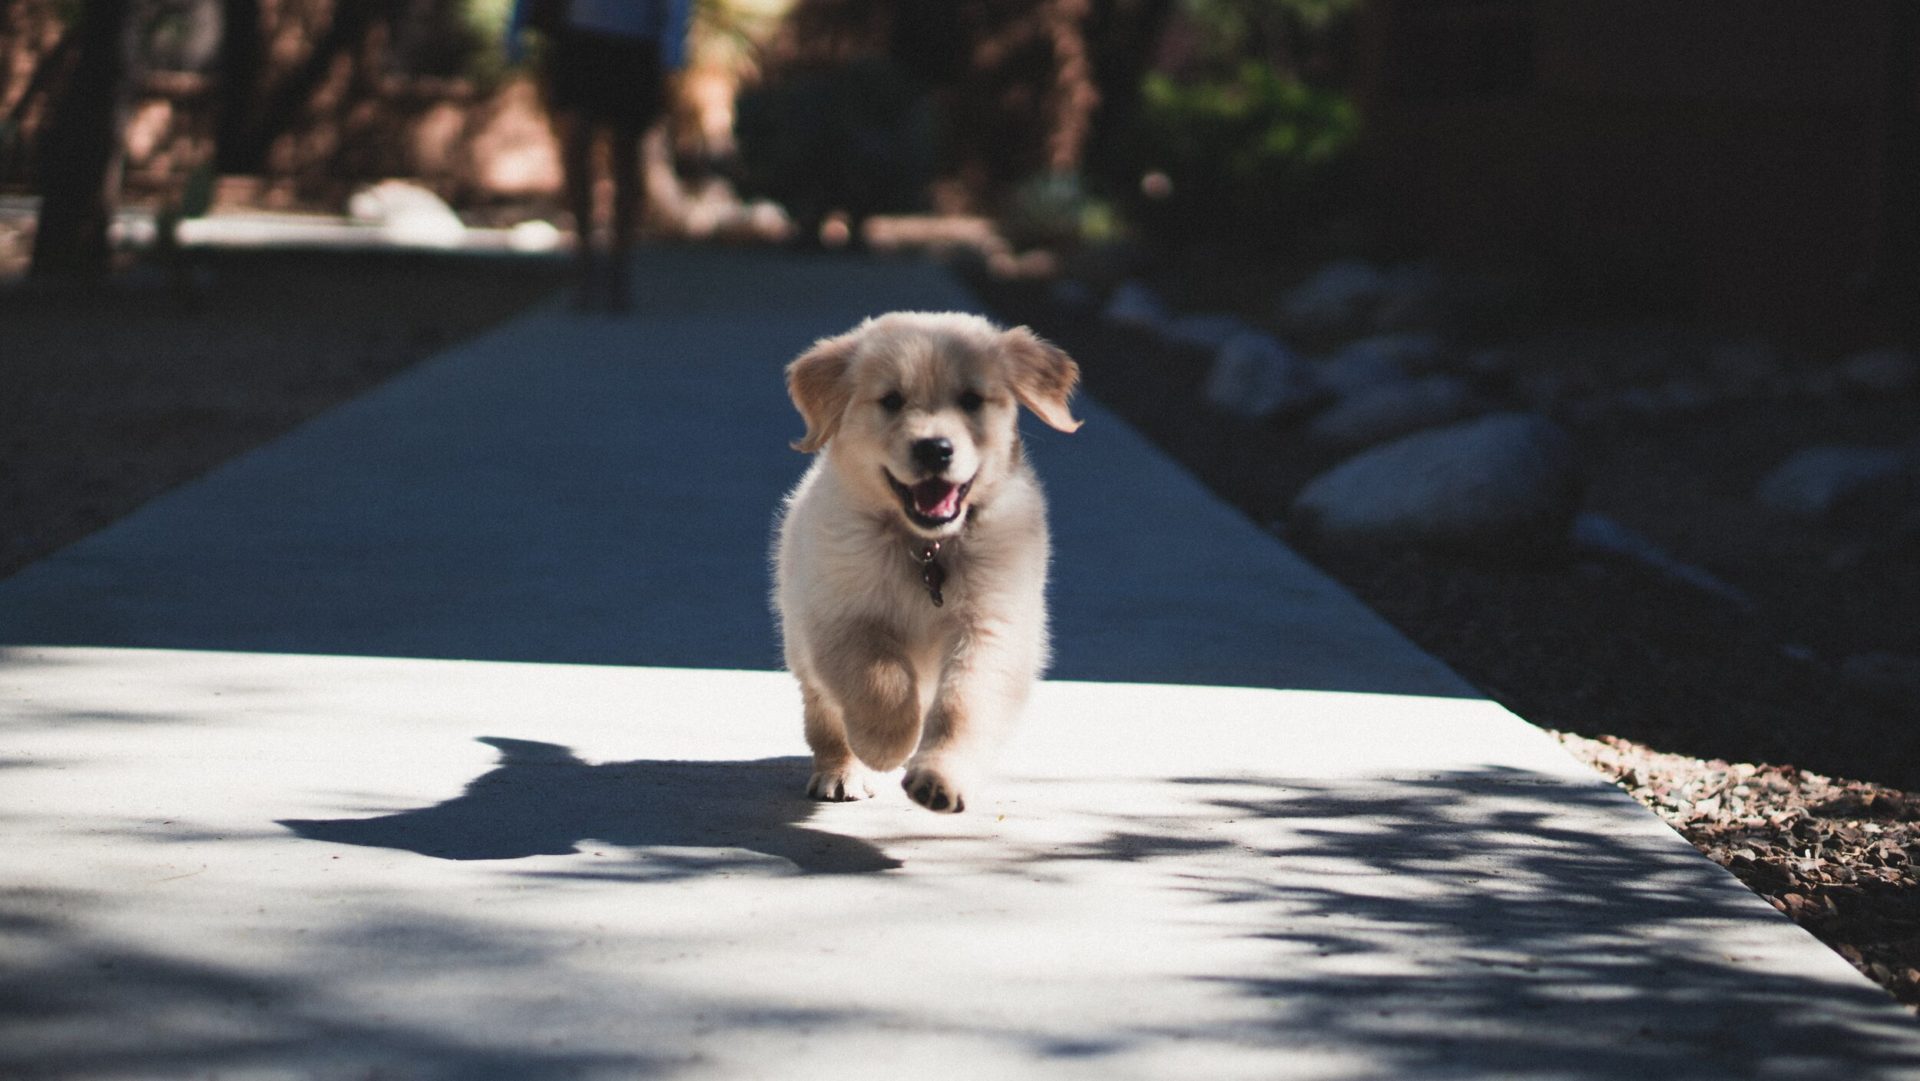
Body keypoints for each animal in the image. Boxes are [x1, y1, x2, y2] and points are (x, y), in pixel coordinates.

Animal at [775, 311, 1082, 814]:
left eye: (971, 400)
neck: (925, 547)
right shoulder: (839, 616)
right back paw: (841, 771)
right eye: (892, 401)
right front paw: (886, 743)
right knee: (824, 716)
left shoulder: (992, 625)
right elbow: (879, 678)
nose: (934, 448)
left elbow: (964, 704)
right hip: (800, 642)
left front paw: (940, 777)